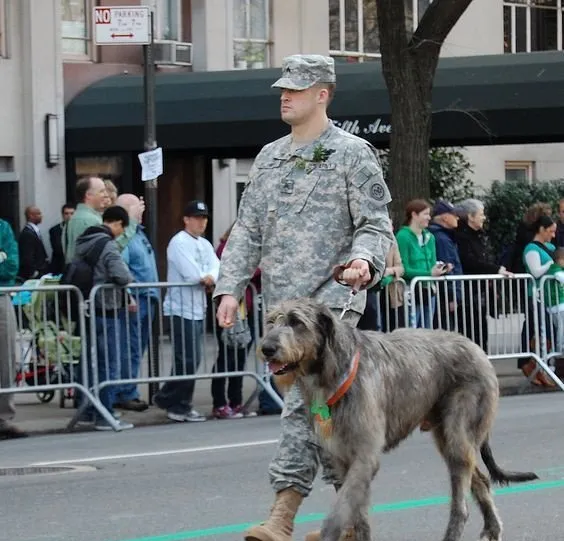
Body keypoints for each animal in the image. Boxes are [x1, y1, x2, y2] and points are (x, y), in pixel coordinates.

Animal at [260, 298, 536, 536]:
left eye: (296, 321)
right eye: (271, 321)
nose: (266, 348)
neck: (333, 370)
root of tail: (477, 348)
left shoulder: (365, 456)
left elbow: (340, 512)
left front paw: (330, 532)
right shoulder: (341, 458)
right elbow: (358, 517)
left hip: (460, 429)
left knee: (462, 505)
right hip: (447, 437)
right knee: (480, 480)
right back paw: (492, 528)